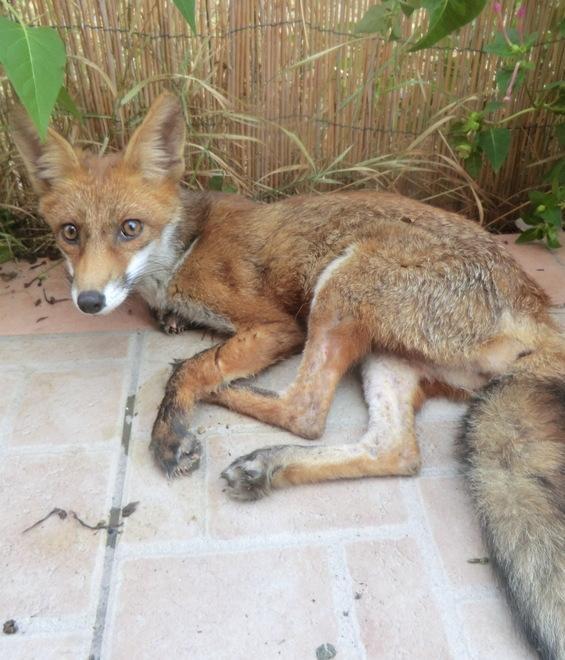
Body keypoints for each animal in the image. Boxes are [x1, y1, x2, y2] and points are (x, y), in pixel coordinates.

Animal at [11, 92, 565, 658]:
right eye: (70, 234)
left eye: (130, 228)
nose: (89, 301)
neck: (180, 251)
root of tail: (538, 311)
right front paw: (170, 325)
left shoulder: (276, 325)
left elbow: (196, 368)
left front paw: (170, 426)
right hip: (386, 356)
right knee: (393, 450)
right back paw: (268, 467)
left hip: (340, 286)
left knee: (304, 410)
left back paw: (235, 401)